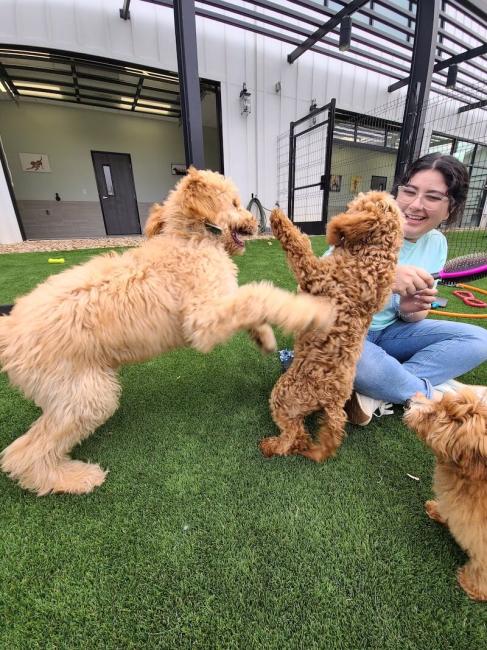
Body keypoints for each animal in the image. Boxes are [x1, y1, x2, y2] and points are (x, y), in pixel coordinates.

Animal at [262, 192, 402, 460]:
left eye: (353, 205)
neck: (373, 256)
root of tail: (333, 404)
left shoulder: (314, 274)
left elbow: (298, 246)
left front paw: (279, 218)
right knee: (303, 434)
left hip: (284, 396)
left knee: (293, 434)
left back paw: (272, 446)